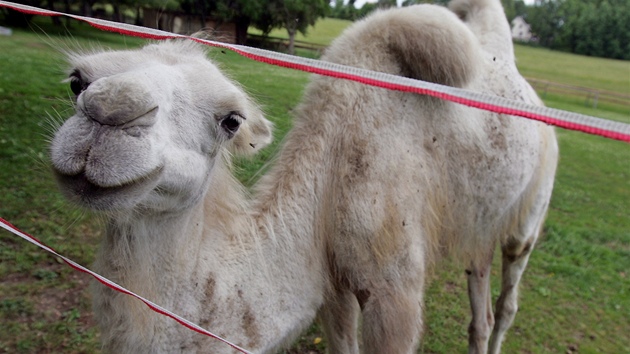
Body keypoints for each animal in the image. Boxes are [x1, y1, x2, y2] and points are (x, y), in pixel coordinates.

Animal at [49, 0, 556, 352]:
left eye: (230, 120)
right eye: (77, 82)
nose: (109, 110)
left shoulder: (396, 292)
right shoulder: (333, 284)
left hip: (535, 204)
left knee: (509, 293)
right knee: (479, 279)